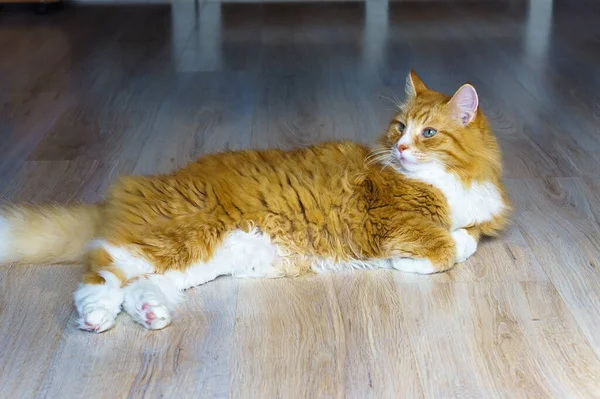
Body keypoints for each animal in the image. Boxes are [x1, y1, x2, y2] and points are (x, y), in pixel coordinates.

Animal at [0, 71, 510, 334]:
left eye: (428, 132)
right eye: (400, 126)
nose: (401, 147)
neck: (454, 179)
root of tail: (143, 186)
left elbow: (468, 237)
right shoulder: (390, 224)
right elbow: (447, 247)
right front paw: (416, 260)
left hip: (196, 260)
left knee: (139, 286)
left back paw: (150, 313)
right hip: (176, 238)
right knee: (99, 275)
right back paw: (95, 316)